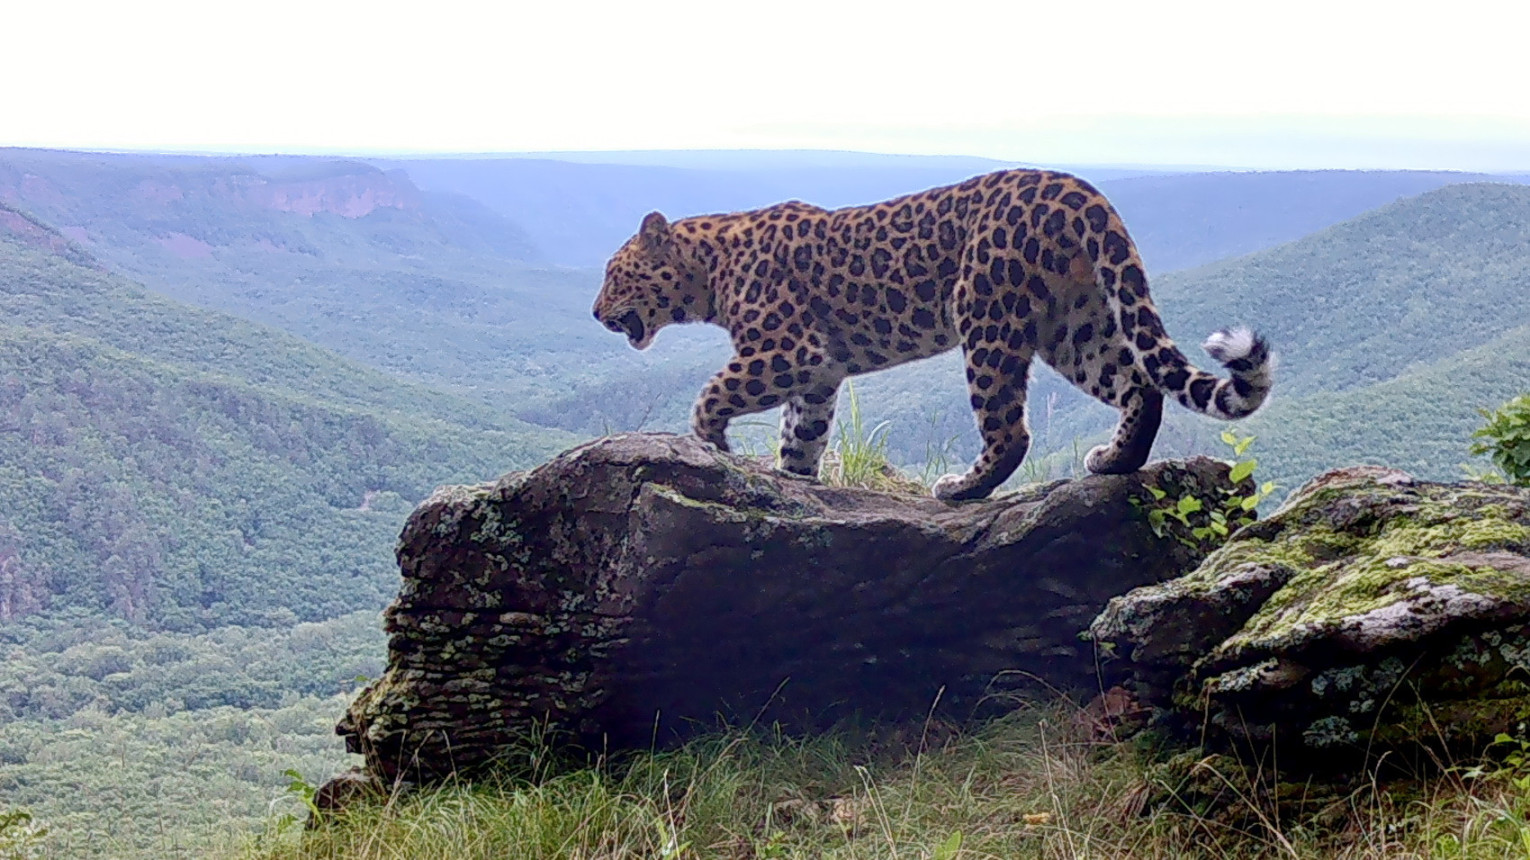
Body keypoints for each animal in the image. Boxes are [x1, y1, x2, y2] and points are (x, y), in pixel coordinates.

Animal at [590, 167, 1272, 498]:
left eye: (613, 273)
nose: (595, 313)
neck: (707, 269)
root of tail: (1074, 186)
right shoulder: (817, 374)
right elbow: (800, 437)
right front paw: (795, 486)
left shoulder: (789, 351)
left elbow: (711, 393)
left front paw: (713, 444)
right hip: (1074, 324)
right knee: (1139, 383)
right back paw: (1113, 460)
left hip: (985, 312)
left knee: (1011, 431)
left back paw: (961, 490)